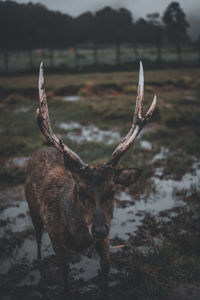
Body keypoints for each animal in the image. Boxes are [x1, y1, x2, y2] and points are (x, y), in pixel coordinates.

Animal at [24, 61, 156, 292]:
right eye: (80, 191)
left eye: (113, 191)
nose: (99, 229)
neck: (79, 239)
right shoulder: (55, 235)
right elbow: (65, 275)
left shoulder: (107, 237)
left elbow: (105, 270)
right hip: (32, 208)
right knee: (38, 235)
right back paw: (39, 261)